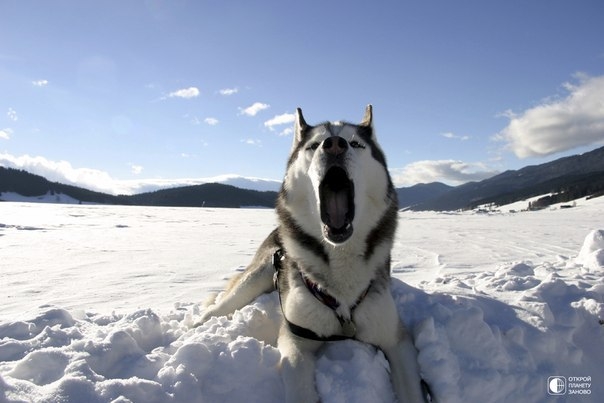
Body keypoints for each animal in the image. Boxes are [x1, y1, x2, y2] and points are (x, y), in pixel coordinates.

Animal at [196, 105, 428, 402]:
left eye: (355, 143)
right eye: (314, 145)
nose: (334, 144)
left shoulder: (395, 340)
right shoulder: (296, 339)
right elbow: (300, 387)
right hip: (255, 278)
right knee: (221, 305)